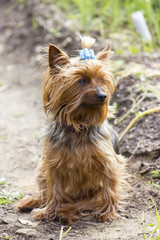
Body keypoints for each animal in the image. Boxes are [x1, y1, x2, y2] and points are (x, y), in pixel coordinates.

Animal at [17, 36, 127, 225]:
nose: (103, 96)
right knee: (45, 193)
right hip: (41, 168)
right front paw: (49, 212)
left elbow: (109, 187)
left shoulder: (109, 163)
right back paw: (35, 203)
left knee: (85, 202)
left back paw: (66, 212)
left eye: (102, 80)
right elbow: (54, 190)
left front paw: (107, 213)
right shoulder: (53, 164)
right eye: (82, 80)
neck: (78, 124)